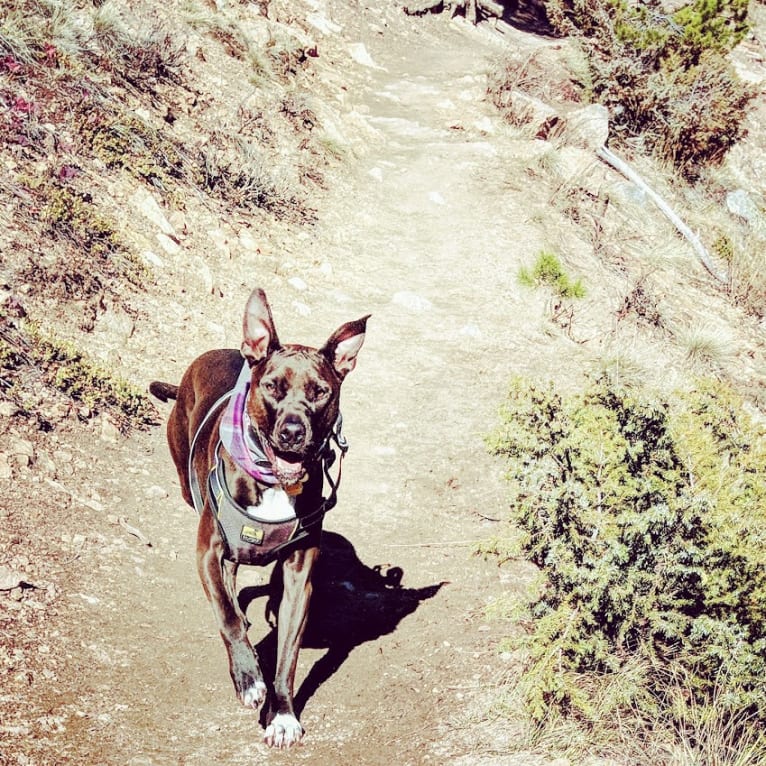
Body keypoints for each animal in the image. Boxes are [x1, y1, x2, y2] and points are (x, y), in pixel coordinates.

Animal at [149, 288, 368, 752]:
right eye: (272, 387)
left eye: (320, 392)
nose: (292, 431)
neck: (273, 481)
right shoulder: (207, 549)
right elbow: (227, 617)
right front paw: (249, 678)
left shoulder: (300, 578)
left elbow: (287, 657)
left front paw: (282, 715)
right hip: (190, 491)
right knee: (229, 586)